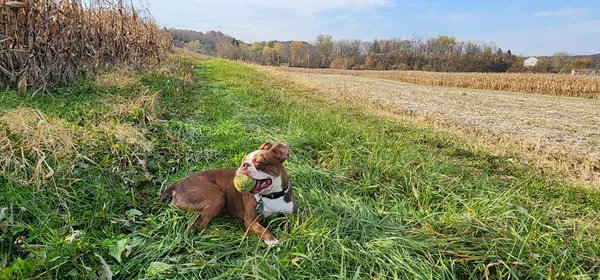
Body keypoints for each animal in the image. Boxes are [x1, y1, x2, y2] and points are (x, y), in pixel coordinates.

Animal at [161, 142, 296, 245]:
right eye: (243, 161)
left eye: (260, 163)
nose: (244, 165)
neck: (272, 195)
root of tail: (177, 184)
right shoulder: (250, 221)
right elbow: (262, 229)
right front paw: (272, 240)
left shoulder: (294, 215)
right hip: (217, 197)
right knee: (200, 226)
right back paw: (219, 233)